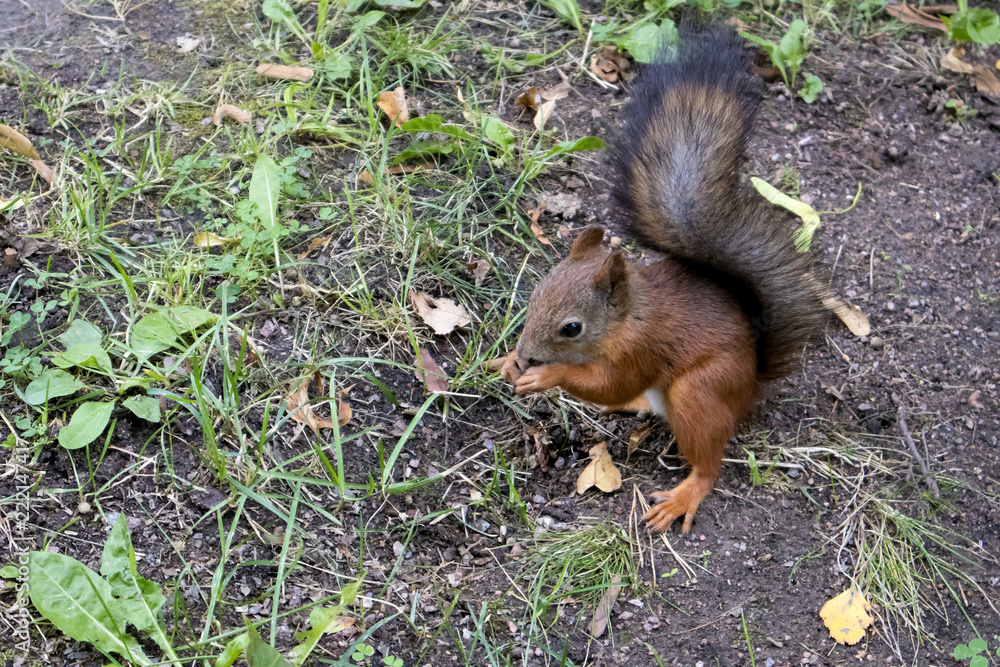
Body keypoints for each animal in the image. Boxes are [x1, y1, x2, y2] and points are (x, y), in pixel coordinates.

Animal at [499, 26, 829, 533]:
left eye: (572, 328)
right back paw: (632, 409)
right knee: (644, 405)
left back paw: (683, 497)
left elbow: (607, 382)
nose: (526, 355)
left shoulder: (641, 348)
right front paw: (505, 363)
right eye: (535, 295)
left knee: (708, 463)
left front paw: (546, 375)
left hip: (699, 392)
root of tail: (751, 388)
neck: (625, 319)